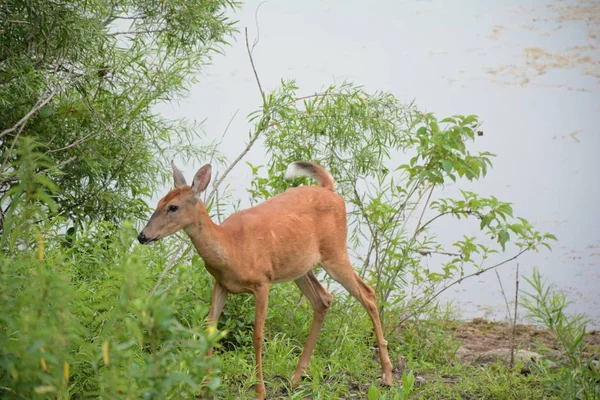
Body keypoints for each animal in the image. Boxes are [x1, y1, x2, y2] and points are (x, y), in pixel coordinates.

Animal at [138, 161, 396, 398]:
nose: (142, 236)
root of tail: (330, 190)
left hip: (334, 251)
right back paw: (295, 378)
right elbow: (209, 329)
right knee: (323, 299)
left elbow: (258, 336)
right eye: (158, 202)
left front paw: (259, 390)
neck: (230, 246)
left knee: (368, 294)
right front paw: (204, 388)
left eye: (173, 207)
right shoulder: (221, 283)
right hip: (300, 267)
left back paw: (387, 374)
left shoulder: (262, 282)